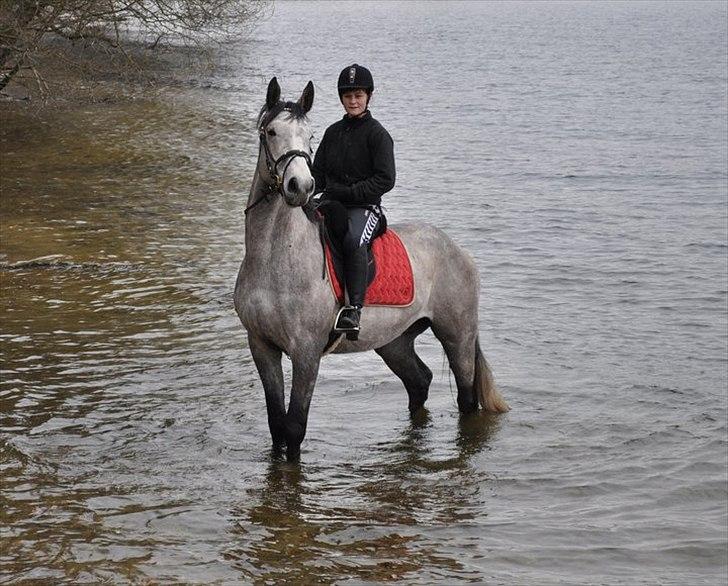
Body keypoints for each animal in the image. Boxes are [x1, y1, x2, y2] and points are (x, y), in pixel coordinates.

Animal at [233, 78, 506, 460]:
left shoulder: (306, 352)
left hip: (458, 335)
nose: (301, 187)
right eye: (271, 132)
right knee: (419, 382)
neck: (276, 260)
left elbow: (295, 426)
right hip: (394, 341)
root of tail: (458, 250)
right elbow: (276, 426)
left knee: (466, 399)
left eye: (309, 135)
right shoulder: (261, 346)